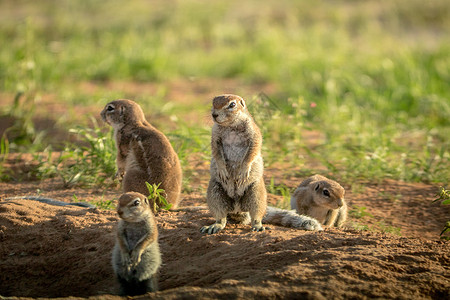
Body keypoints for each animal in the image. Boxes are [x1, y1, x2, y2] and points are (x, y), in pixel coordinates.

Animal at [200, 95, 324, 233]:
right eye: (213, 102)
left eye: (232, 105)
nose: (214, 114)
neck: (230, 126)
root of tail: (238, 208)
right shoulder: (215, 136)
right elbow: (216, 153)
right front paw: (222, 170)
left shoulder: (254, 133)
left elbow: (252, 151)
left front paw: (244, 170)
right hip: (215, 193)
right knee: (221, 216)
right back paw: (215, 226)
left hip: (256, 193)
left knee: (256, 215)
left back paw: (258, 226)